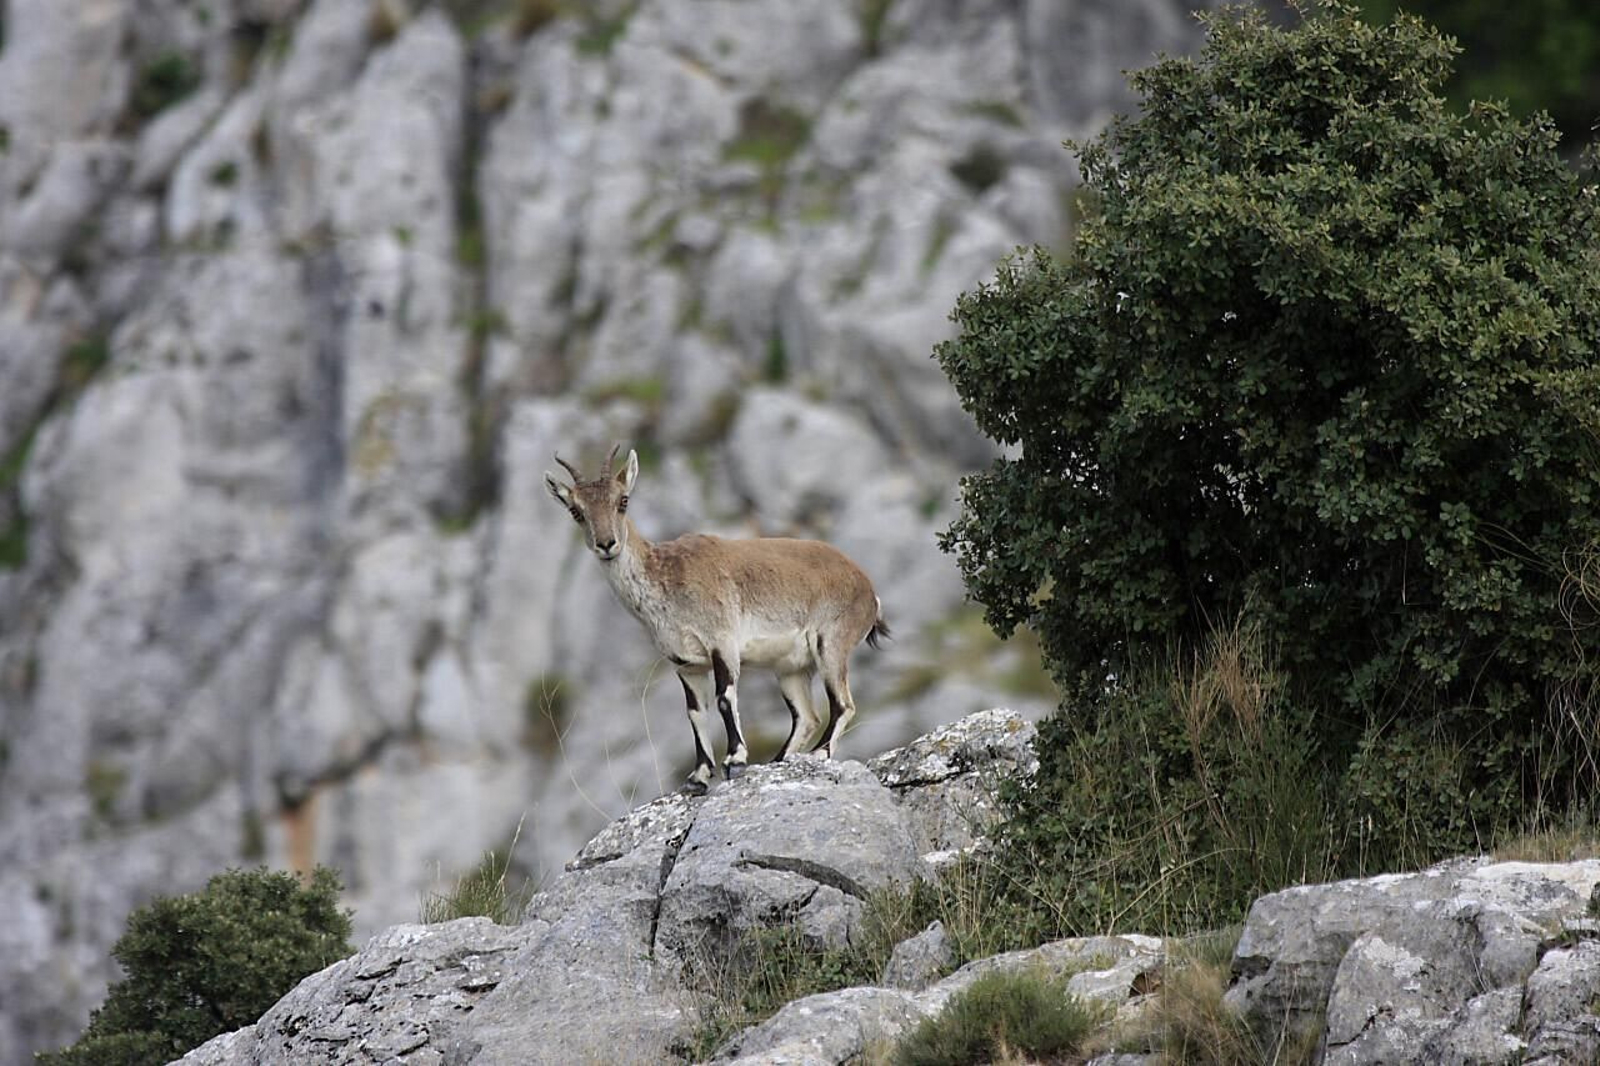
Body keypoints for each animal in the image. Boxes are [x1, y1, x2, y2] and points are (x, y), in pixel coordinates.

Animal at [544, 445, 890, 794]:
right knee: (807, 716)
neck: (667, 580)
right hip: (790, 668)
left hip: (831, 644)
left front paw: (734, 761)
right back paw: (778, 761)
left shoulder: (722, 643)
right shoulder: (686, 664)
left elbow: (724, 698)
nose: (606, 544)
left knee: (843, 705)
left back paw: (819, 754)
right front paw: (697, 777)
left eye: (623, 501)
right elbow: (695, 713)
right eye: (576, 511)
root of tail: (868, 590)